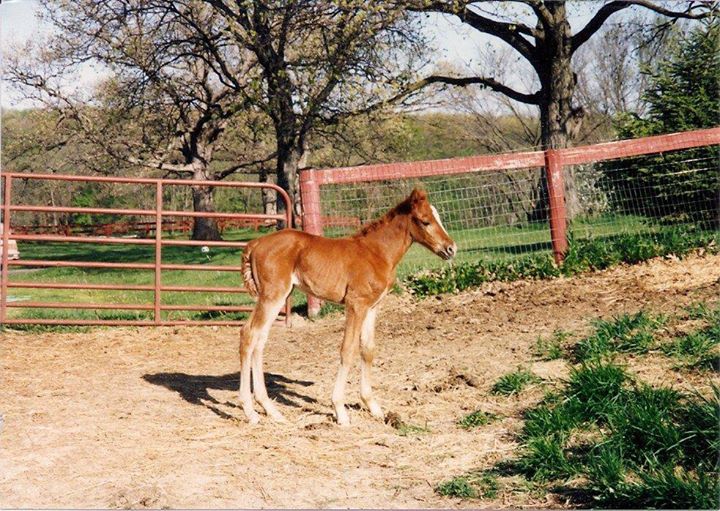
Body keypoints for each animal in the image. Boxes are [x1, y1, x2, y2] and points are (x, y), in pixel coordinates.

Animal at [240, 190, 456, 426]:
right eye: (425, 221)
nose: (451, 248)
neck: (376, 252)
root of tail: (255, 244)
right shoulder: (356, 304)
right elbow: (348, 349)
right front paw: (340, 411)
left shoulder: (372, 307)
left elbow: (368, 349)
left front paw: (374, 407)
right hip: (273, 296)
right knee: (249, 334)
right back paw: (250, 412)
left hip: (276, 297)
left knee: (260, 339)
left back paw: (271, 410)